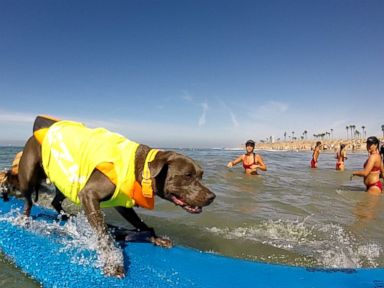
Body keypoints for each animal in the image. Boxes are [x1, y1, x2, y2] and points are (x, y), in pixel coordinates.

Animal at [17, 116, 216, 278]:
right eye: (187, 175)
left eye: (201, 175)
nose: (212, 196)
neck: (140, 168)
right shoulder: (89, 194)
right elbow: (104, 234)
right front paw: (113, 262)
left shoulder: (122, 201)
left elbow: (140, 223)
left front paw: (155, 238)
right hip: (28, 174)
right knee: (28, 200)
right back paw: (24, 219)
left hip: (66, 182)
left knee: (55, 200)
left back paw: (65, 216)